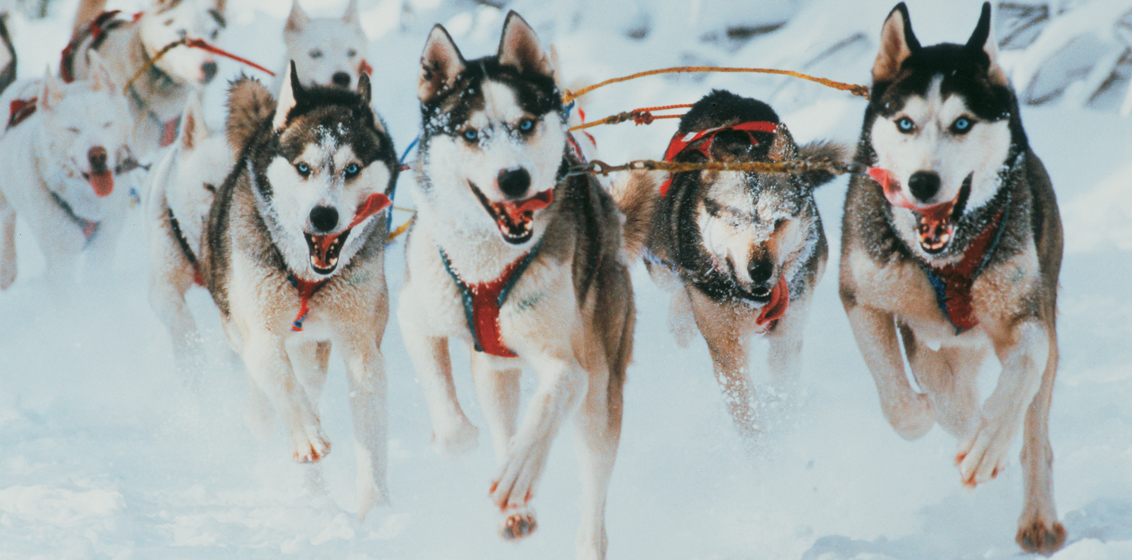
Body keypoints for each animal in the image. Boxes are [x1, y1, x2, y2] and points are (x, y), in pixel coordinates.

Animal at [199, 65, 399, 516]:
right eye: (303, 168)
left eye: (352, 169)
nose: (323, 215)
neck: (307, 277)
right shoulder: (261, 334)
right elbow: (284, 386)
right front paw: (307, 436)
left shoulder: (362, 345)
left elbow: (370, 429)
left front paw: (375, 505)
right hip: (239, 329)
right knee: (265, 396)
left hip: (313, 350)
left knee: (309, 384)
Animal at [398, 12, 652, 559]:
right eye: (470, 134)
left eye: (526, 124)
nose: (513, 178)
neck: (485, 265)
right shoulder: (415, 316)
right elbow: (454, 423)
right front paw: (455, 442)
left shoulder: (569, 368)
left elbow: (548, 408)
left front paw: (520, 472)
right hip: (496, 370)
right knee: (502, 419)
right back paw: (515, 511)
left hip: (600, 391)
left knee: (592, 478)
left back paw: (582, 535)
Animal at [645, 90, 844, 444]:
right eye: (734, 218)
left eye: (778, 220)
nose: (760, 270)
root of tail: (725, 95)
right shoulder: (727, 348)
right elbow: (747, 415)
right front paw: (762, 454)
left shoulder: (788, 335)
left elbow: (784, 386)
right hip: (660, 263)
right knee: (677, 289)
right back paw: (680, 319)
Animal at [838, 2, 1065, 553]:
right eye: (905, 122)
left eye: (962, 123)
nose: (923, 182)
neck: (948, 259)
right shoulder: (863, 296)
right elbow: (904, 402)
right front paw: (931, 419)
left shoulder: (1024, 315)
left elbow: (1025, 367)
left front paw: (988, 443)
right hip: (935, 345)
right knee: (948, 392)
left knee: (1035, 432)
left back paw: (1035, 513)